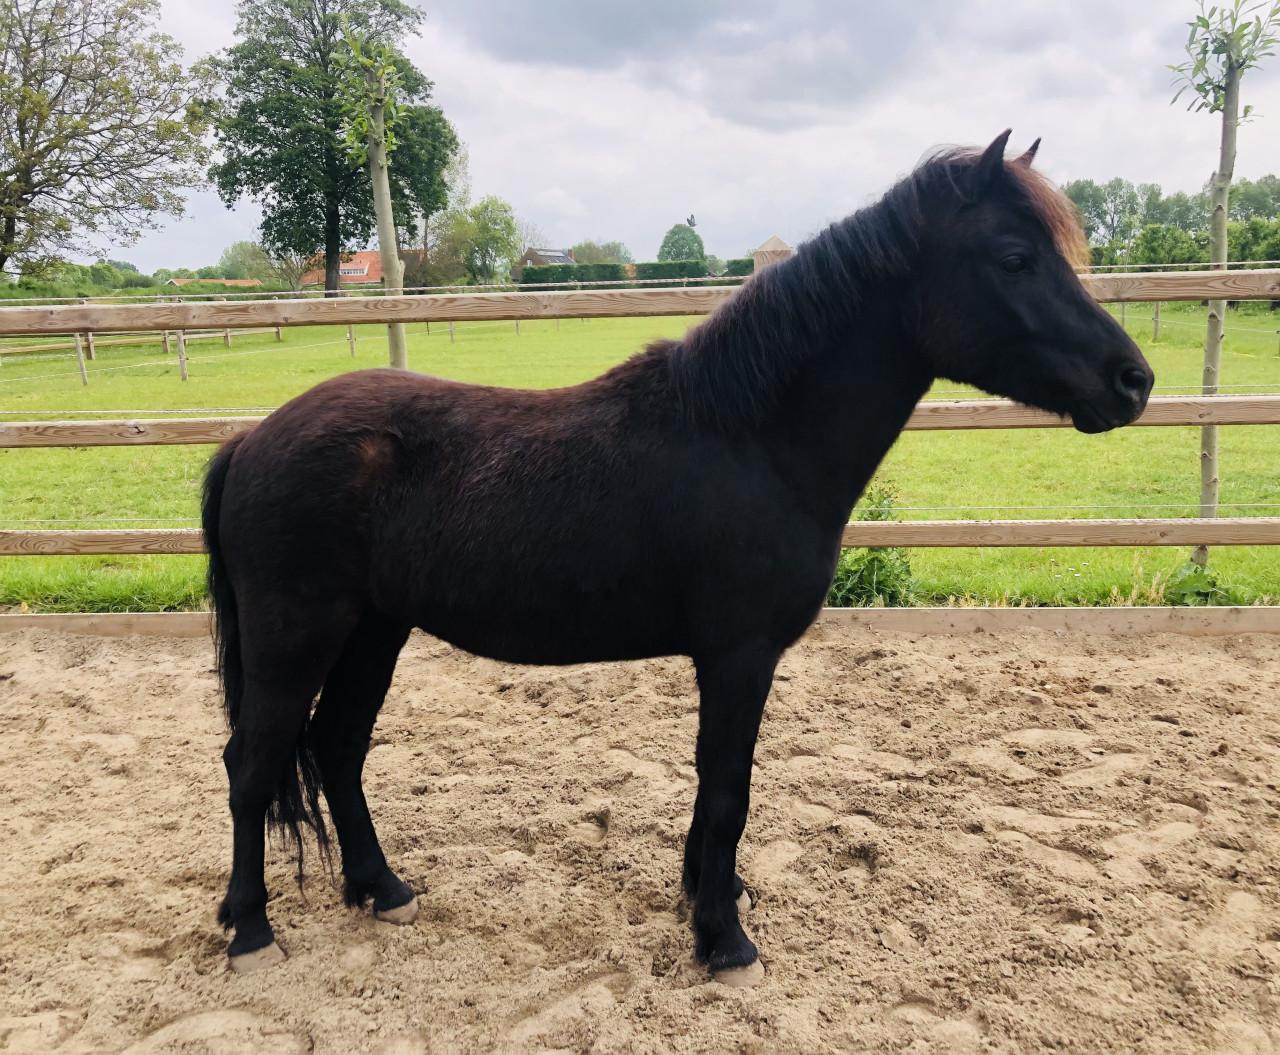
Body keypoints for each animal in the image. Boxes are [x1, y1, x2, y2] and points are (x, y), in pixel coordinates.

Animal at [201, 131, 1153, 979]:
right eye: (1015, 257)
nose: (1133, 380)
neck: (751, 437)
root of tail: (250, 441)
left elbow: (711, 789)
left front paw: (705, 895)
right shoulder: (739, 654)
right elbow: (728, 789)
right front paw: (724, 940)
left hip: (374, 631)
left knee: (337, 747)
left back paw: (383, 887)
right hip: (297, 639)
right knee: (252, 764)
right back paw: (250, 929)